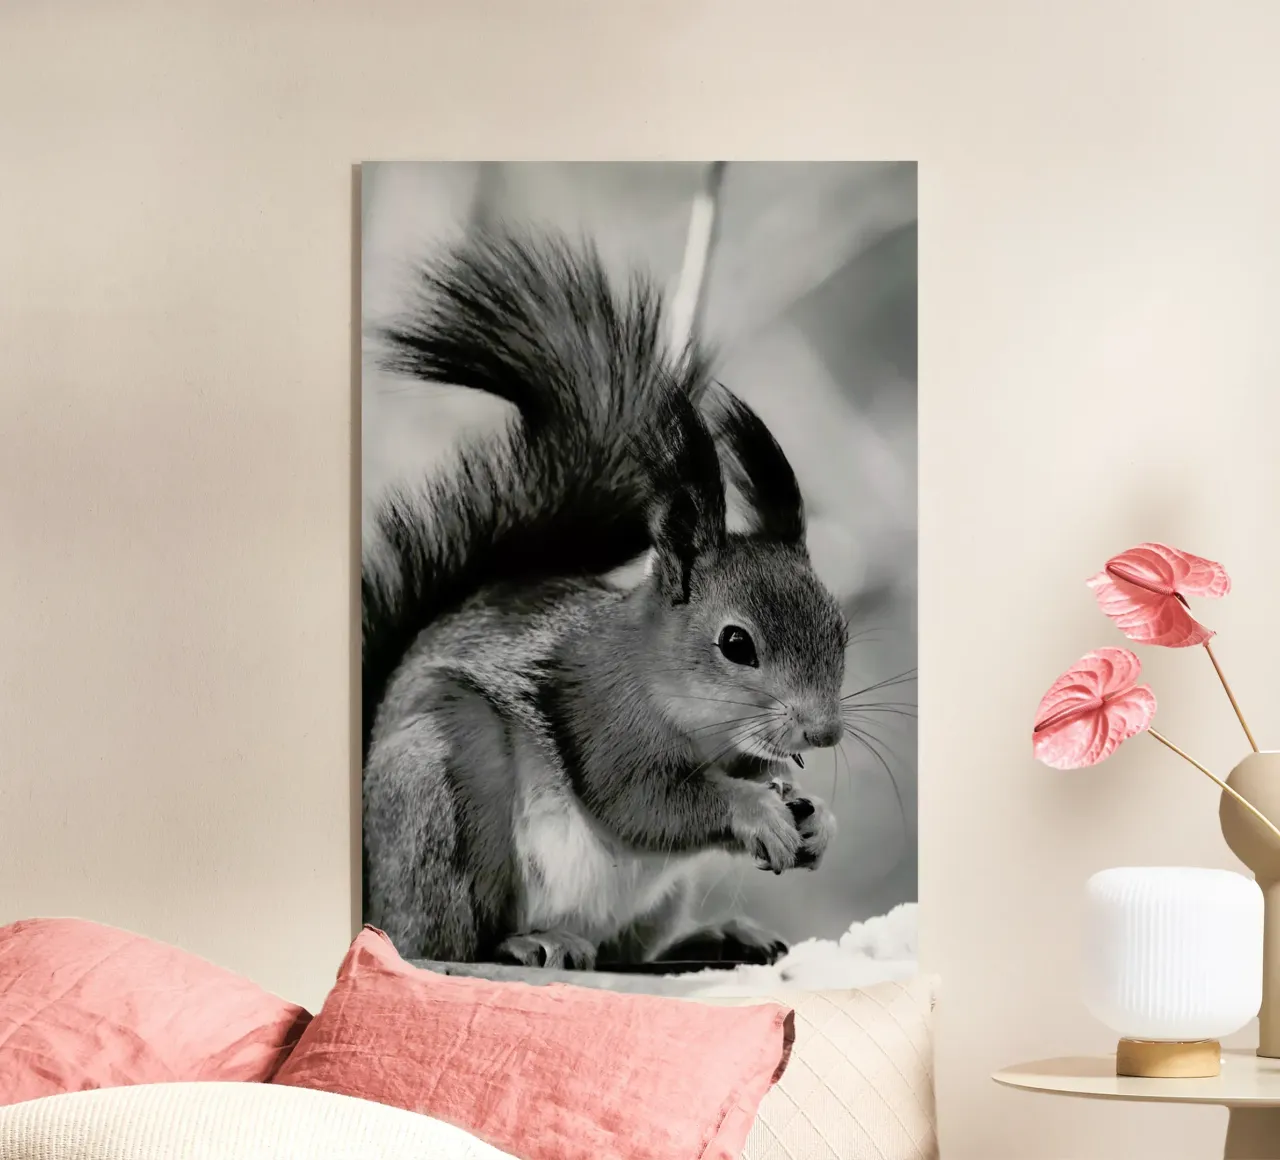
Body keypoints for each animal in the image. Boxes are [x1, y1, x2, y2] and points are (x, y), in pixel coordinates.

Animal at [362, 231, 850, 970]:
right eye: (736, 643)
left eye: (840, 628)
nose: (821, 732)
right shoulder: (601, 716)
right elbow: (645, 802)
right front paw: (756, 811)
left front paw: (814, 816)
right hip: (440, 790)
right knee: (448, 940)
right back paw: (529, 941)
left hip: (655, 903)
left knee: (633, 954)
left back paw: (717, 936)